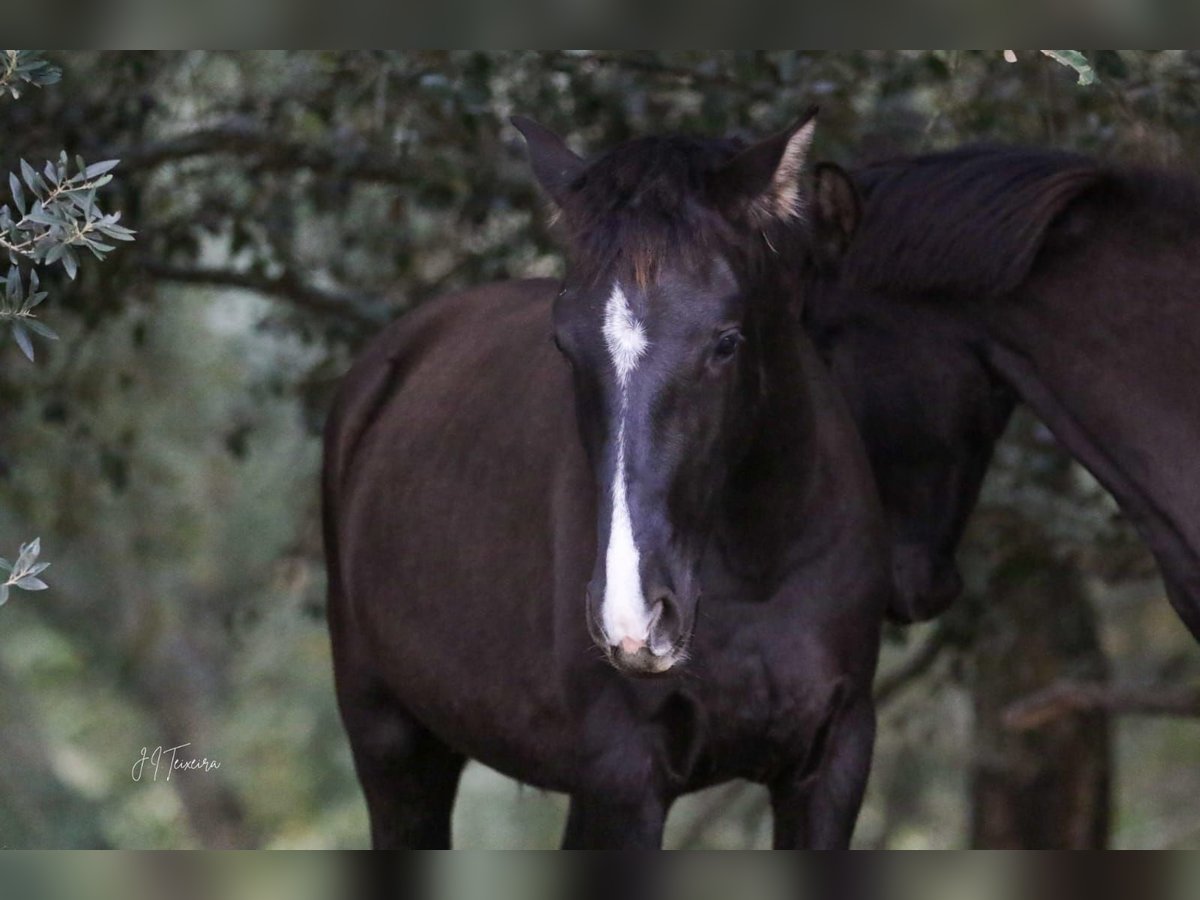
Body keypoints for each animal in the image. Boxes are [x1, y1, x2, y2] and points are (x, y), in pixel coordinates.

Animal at [324, 111, 897, 844]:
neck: (761, 571)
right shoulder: (621, 781)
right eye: (565, 345)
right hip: (395, 749)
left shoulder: (831, 767)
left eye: (726, 342)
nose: (632, 619)